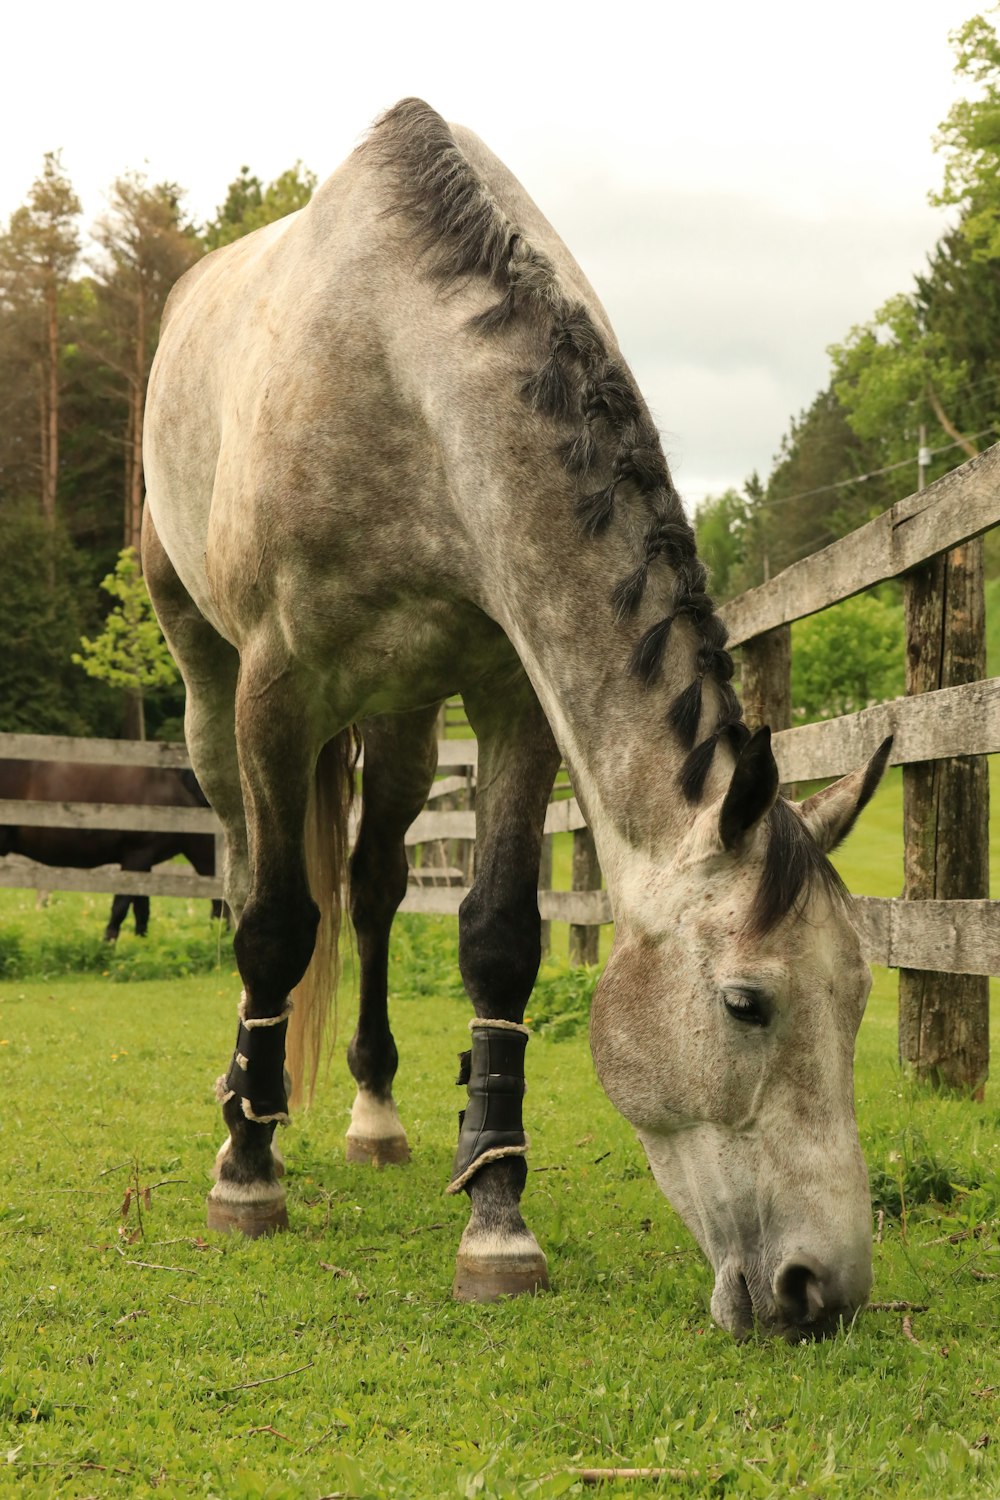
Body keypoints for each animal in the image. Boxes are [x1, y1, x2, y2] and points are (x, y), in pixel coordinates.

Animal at [0, 762, 220, 936]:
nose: (221, 934)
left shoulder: (144, 864)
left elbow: (142, 909)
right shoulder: (136, 857)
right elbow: (121, 907)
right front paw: (107, 947)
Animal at [142, 99, 893, 1344]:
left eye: (860, 998)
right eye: (746, 1004)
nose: (819, 1292)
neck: (397, 369)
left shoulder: (508, 693)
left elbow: (496, 938)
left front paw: (495, 1216)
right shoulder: (276, 691)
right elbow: (276, 929)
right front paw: (246, 1177)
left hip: (402, 717)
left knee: (378, 886)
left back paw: (377, 1115)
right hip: (213, 690)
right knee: (254, 869)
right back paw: (243, 1100)